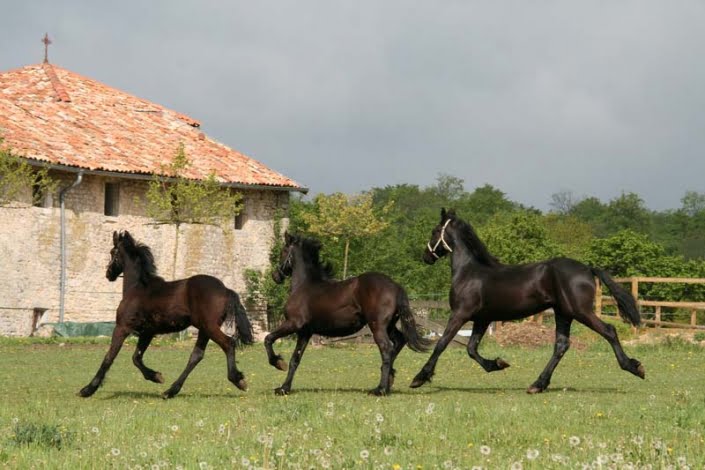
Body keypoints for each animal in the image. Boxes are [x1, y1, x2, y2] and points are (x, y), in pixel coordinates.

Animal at [79, 230, 254, 399]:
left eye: (112, 252)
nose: (108, 274)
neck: (137, 288)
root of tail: (225, 289)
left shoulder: (122, 327)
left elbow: (109, 357)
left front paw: (87, 389)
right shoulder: (147, 332)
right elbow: (136, 358)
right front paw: (156, 376)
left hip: (209, 326)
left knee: (228, 343)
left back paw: (238, 379)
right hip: (204, 329)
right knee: (196, 355)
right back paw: (170, 391)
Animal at [264, 232, 431, 396]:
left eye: (283, 251)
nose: (275, 276)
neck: (304, 286)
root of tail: (395, 286)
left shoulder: (293, 323)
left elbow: (268, 339)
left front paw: (278, 363)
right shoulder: (305, 332)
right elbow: (295, 359)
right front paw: (284, 388)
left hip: (377, 326)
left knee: (386, 349)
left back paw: (380, 389)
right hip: (389, 326)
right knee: (399, 341)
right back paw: (389, 381)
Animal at [410, 208, 645, 394]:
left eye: (434, 231)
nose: (426, 256)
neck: (469, 272)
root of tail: (587, 268)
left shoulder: (460, 314)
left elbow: (442, 343)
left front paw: (419, 378)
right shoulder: (482, 319)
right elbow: (471, 349)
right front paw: (498, 364)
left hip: (580, 311)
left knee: (609, 331)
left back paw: (634, 367)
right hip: (564, 313)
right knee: (561, 345)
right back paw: (537, 384)